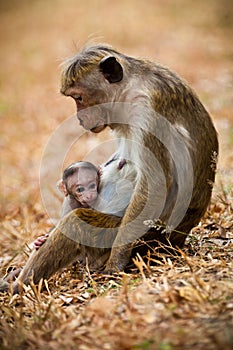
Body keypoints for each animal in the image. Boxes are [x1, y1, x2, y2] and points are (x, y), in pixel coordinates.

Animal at [0, 45, 218, 294]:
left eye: (79, 97)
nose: (79, 118)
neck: (131, 88)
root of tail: (177, 240)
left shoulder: (147, 110)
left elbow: (154, 185)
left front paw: (116, 263)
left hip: (143, 241)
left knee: (77, 223)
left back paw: (18, 287)